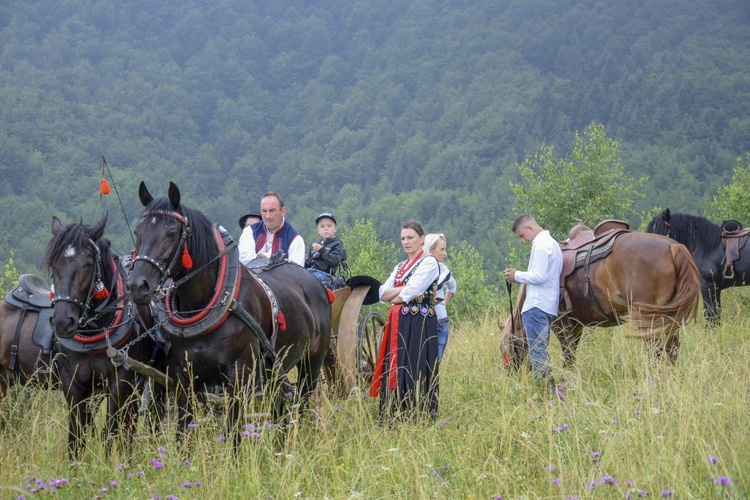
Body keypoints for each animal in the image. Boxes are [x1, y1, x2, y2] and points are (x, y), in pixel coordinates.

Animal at [46, 213, 167, 458]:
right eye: (54, 264)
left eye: (87, 264)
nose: (63, 322)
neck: (94, 333)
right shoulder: (72, 382)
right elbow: (77, 434)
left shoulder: (120, 381)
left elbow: (111, 431)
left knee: (143, 419)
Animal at [126, 183, 332, 450]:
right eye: (138, 231)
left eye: (171, 233)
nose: (137, 285)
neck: (206, 305)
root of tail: (313, 281)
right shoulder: (183, 378)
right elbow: (183, 433)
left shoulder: (238, 378)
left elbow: (233, 433)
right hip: (274, 372)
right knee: (280, 409)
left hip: (312, 363)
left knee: (303, 406)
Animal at [502, 230, 704, 368]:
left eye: (506, 347)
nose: (511, 373)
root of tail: (673, 247)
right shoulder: (576, 326)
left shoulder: (561, 324)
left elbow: (568, 355)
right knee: (671, 350)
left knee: (655, 350)